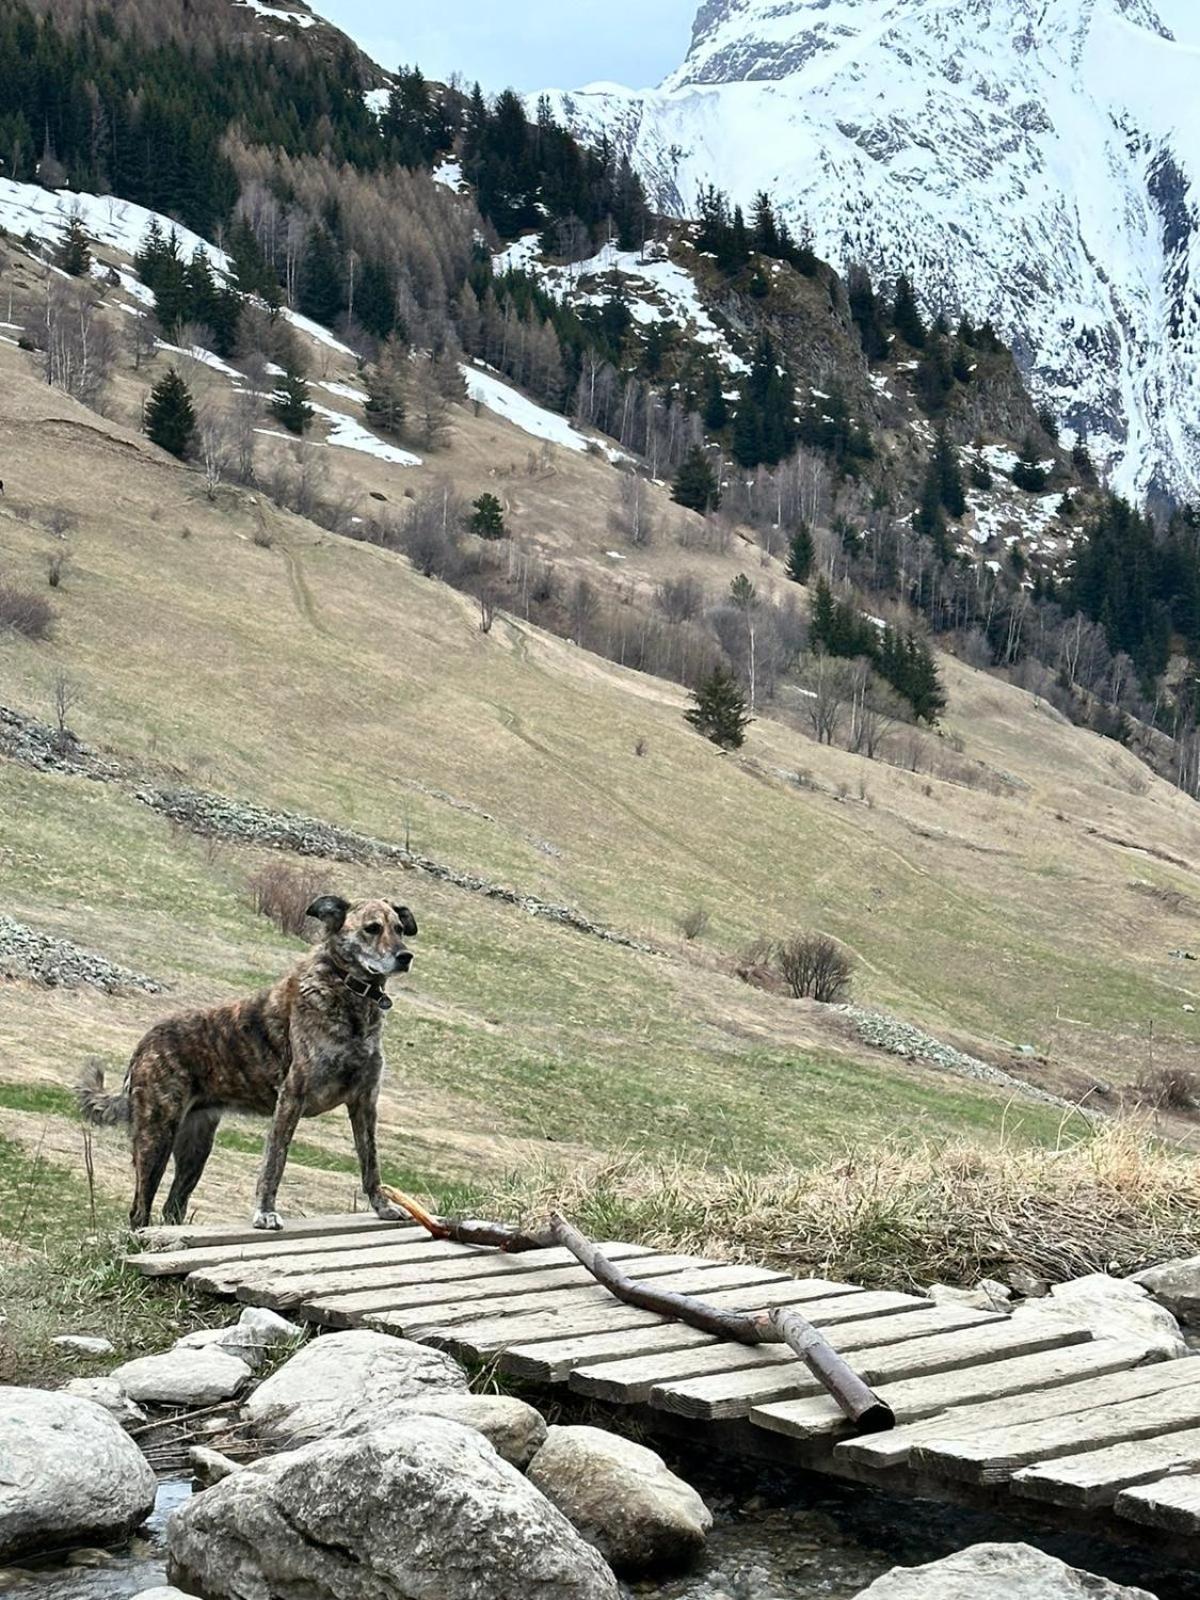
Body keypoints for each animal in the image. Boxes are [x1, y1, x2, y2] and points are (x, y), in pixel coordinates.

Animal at [80, 896, 419, 1228]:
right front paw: (265, 1212)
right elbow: (274, 1163)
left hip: (196, 1147)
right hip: (156, 1136)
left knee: (172, 1207)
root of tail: (145, 1042)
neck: (348, 990)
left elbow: (370, 1163)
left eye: (399, 928)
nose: (406, 956)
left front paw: (383, 1206)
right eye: (372, 928)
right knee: (140, 1210)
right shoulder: (291, 1098)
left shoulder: (365, 1101)